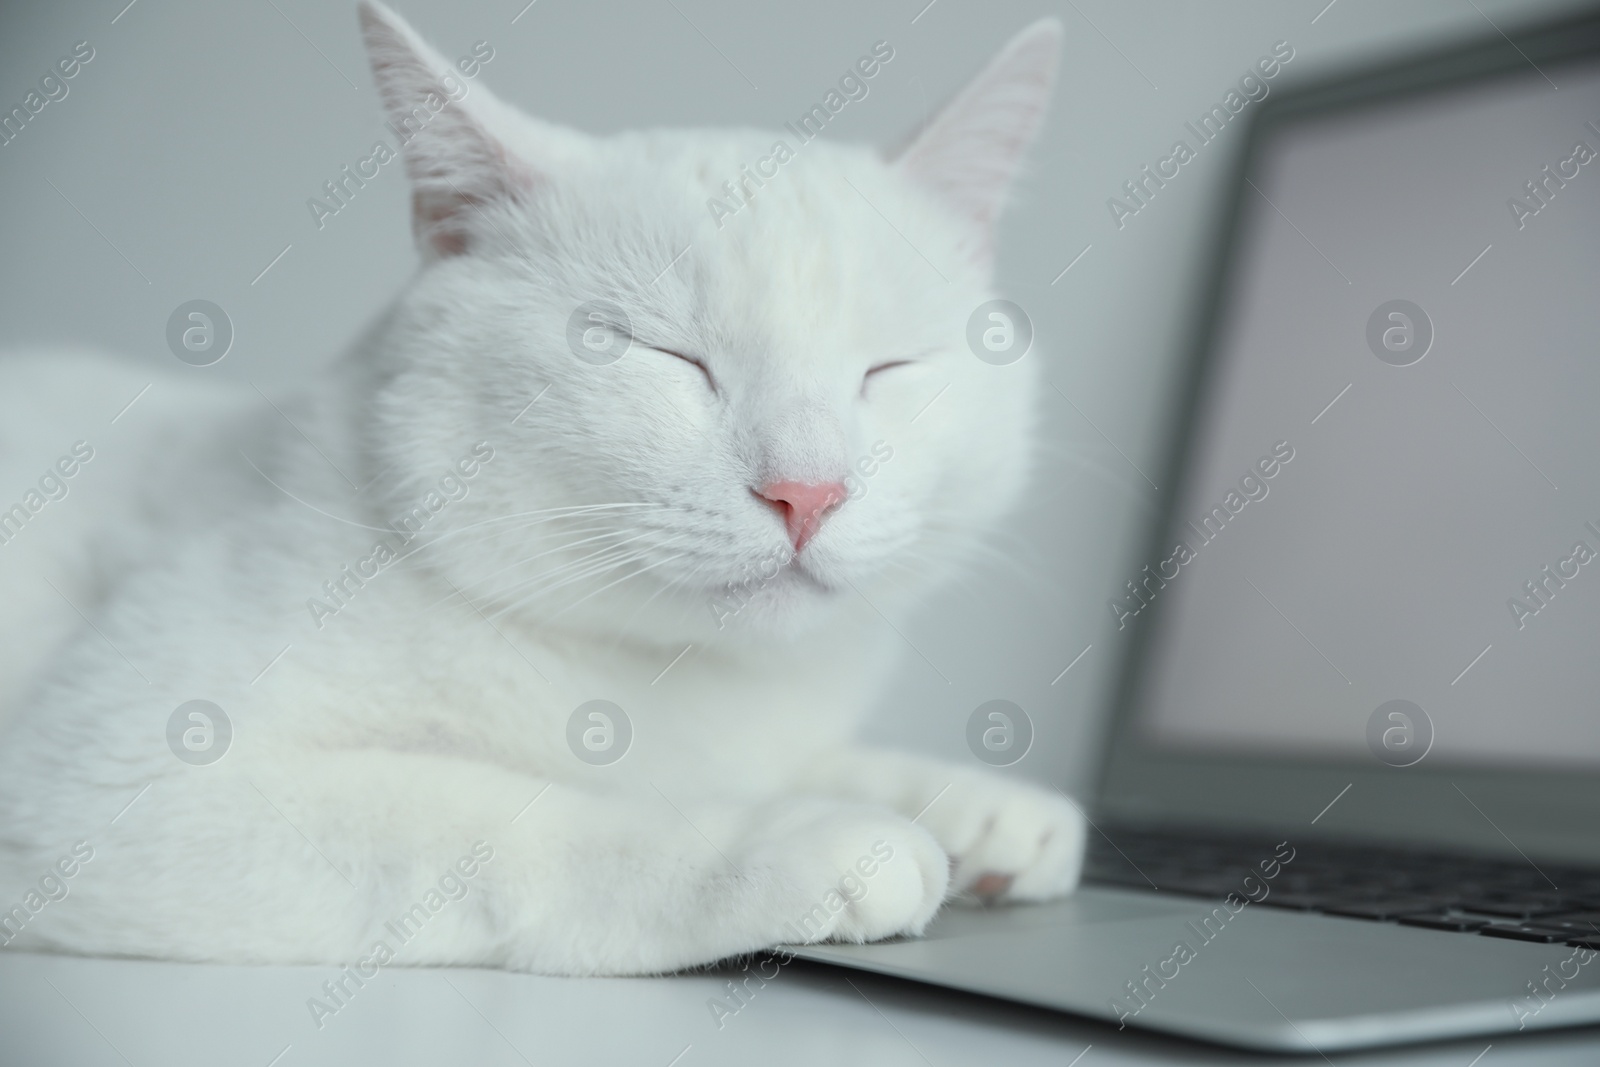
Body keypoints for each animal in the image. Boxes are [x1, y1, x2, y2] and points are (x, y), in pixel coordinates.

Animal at [0, 2, 1088, 979]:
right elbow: (522, 824)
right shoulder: (113, 783)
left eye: (889, 369)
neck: (678, 677)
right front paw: (793, 834)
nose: (806, 491)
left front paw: (963, 802)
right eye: (668, 357)